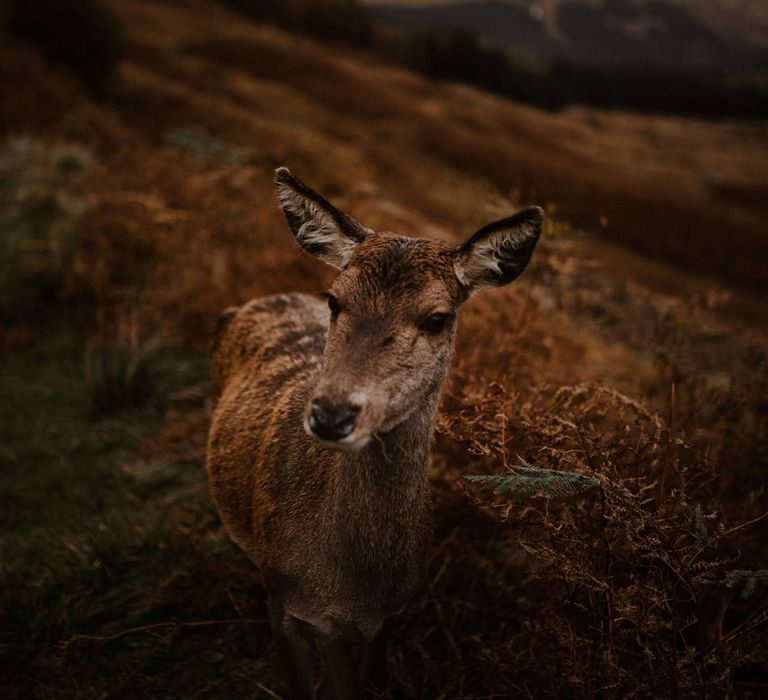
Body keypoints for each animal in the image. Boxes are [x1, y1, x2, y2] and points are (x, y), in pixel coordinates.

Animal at [204, 167, 540, 696]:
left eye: (437, 318)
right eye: (334, 299)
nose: (332, 414)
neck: (352, 588)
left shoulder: (391, 613)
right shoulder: (283, 600)